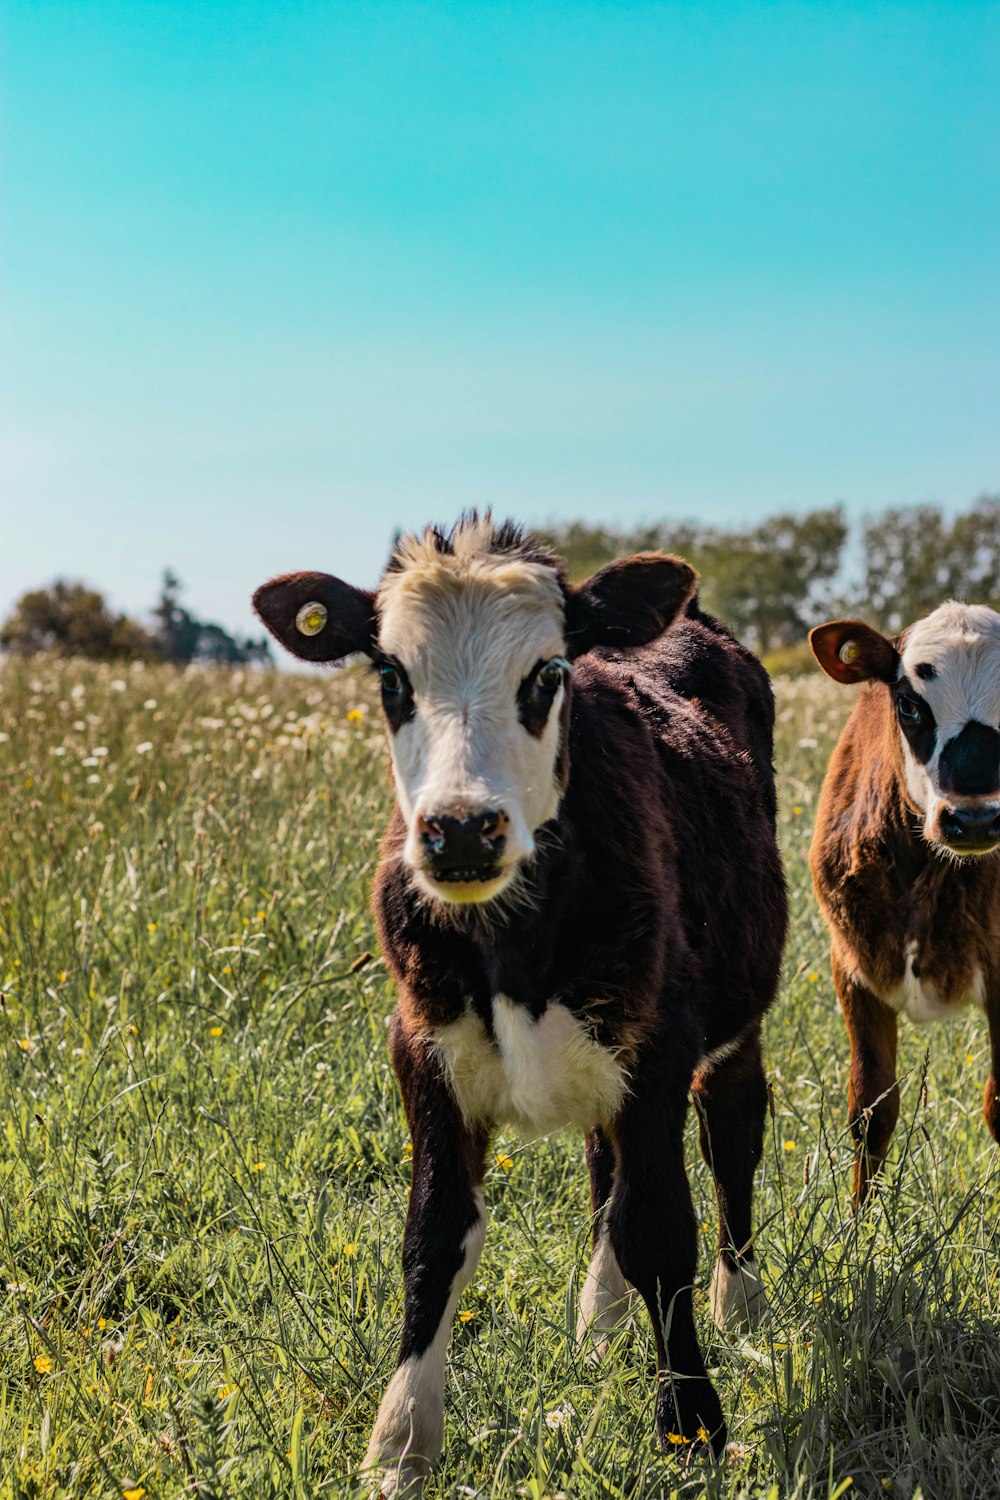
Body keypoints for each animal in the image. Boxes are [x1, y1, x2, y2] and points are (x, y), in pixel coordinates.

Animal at [256, 516, 791, 1488]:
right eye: (390, 677)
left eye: (546, 675)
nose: (462, 829)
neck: (514, 948)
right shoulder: (422, 1049)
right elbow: (435, 1237)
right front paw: (400, 1443)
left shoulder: (658, 1043)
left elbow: (663, 1230)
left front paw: (692, 1427)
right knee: (603, 1168)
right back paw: (598, 1321)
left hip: (736, 1017)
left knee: (732, 1138)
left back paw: (741, 1305)